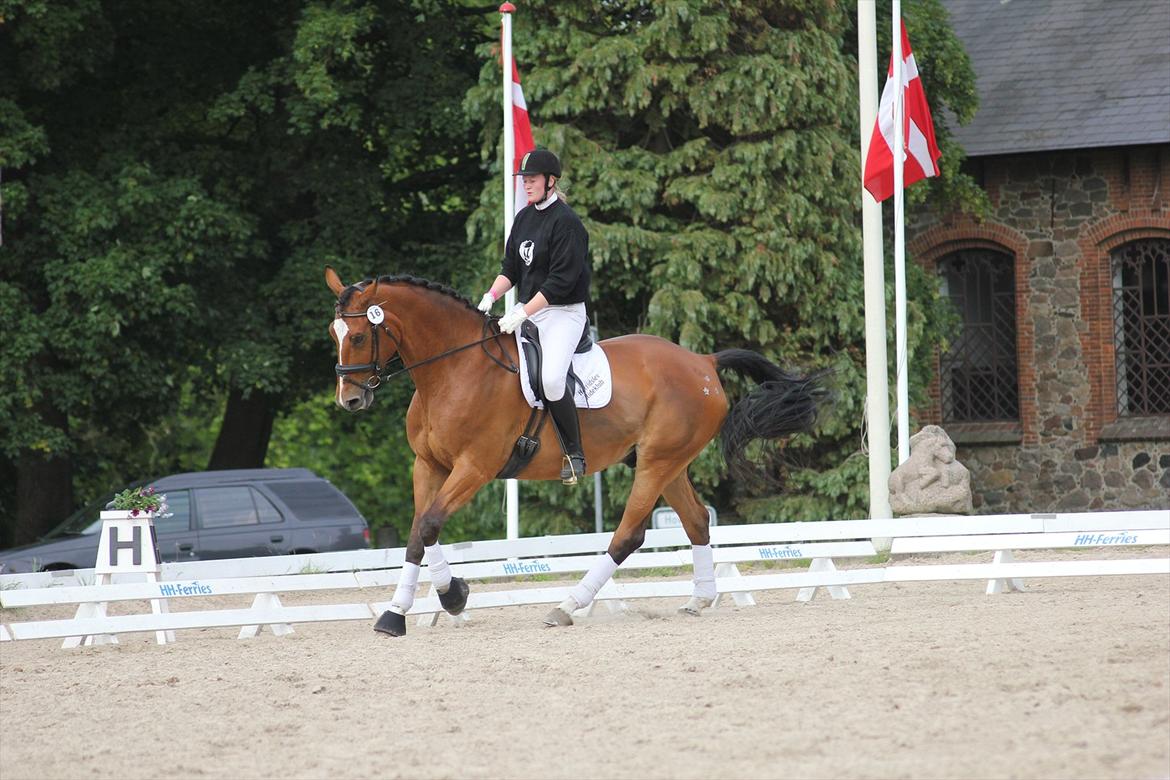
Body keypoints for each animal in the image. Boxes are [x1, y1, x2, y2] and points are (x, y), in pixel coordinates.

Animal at [325, 268, 828, 636]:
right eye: (334, 334)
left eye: (357, 337)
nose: (350, 400)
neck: (454, 369)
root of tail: (702, 362)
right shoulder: (428, 465)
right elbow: (417, 533)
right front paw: (408, 609)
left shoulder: (475, 467)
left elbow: (429, 524)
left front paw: (440, 600)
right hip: (669, 463)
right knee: (697, 520)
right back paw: (699, 599)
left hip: (657, 462)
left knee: (629, 535)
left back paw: (567, 606)